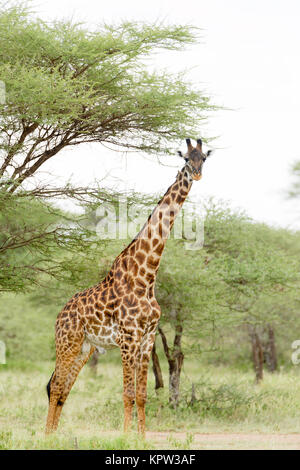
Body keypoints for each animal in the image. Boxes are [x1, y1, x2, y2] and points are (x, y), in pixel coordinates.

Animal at [45, 138, 212, 436]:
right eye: (185, 158)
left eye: (204, 157)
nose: (196, 173)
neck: (146, 276)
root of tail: (60, 314)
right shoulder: (128, 338)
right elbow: (128, 394)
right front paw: (124, 438)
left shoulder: (147, 339)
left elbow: (143, 395)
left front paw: (142, 439)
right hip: (67, 343)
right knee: (55, 386)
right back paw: (44, 438)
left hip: (85, 348)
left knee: (63, 389)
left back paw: (53, 437)